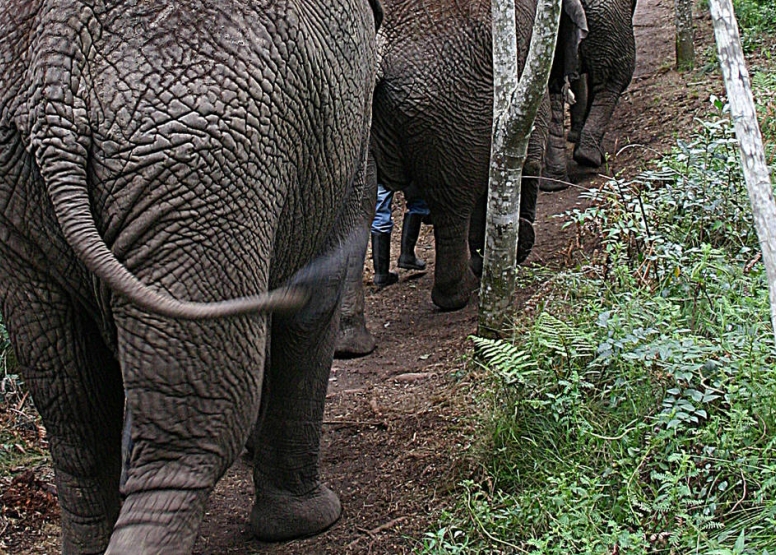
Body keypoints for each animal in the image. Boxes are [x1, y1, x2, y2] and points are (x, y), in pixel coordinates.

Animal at [334, 0, 588, 356]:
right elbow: (526, 157)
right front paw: (515, 248)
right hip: (447, 108)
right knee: (452, 201)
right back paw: (459, 292)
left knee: (358, 208)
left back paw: (350, 345)